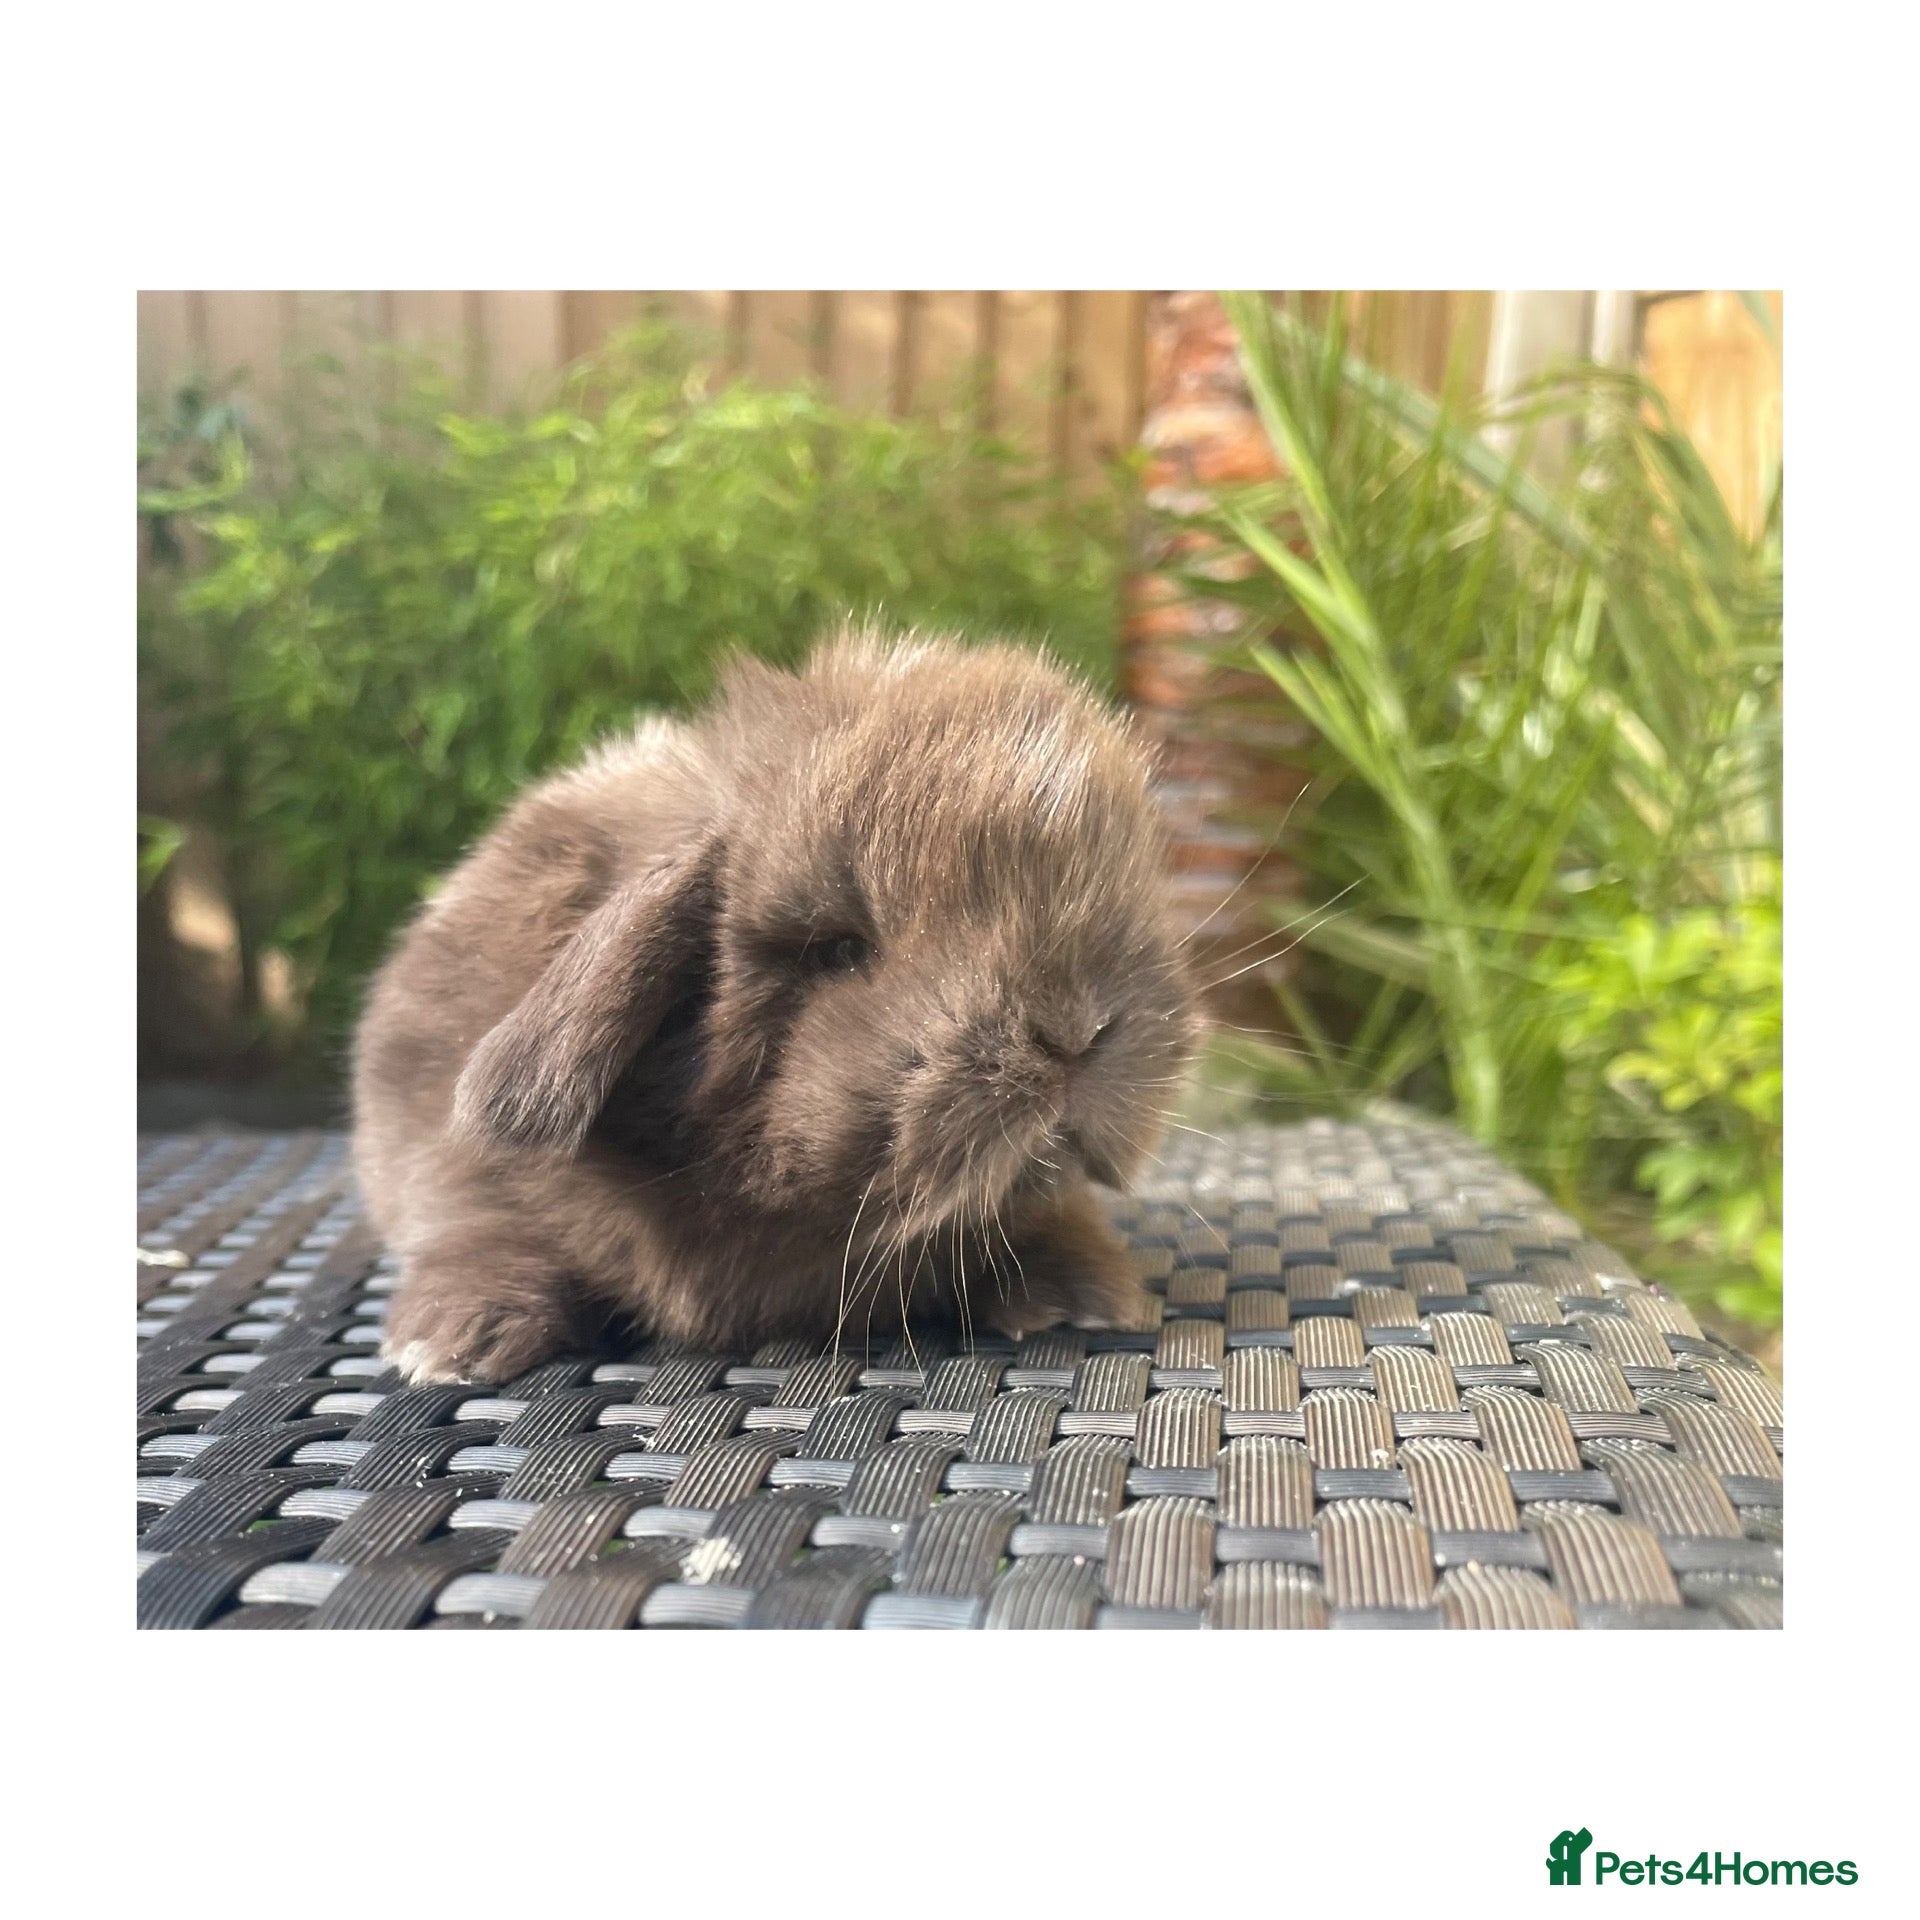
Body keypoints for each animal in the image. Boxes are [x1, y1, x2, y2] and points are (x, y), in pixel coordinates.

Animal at [351, 628, 1202, 1385]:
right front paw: (452, 1342)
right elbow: (477, 1224)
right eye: (841, 950)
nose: (1077, 1031)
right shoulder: (443, 1151)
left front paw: (1078, 1294)